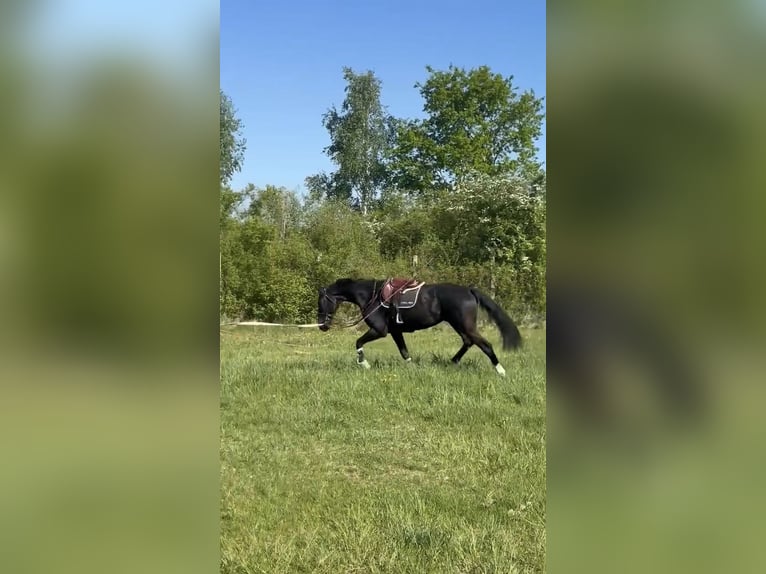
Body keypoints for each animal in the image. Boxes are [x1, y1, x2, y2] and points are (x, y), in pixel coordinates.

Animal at [317, 277, 522, 376]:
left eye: (321, 302)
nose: (321, 325)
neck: (371, 296)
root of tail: (469, 290)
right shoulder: (395, 331)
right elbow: (404, 352)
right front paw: (412, 368)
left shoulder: (379, 331)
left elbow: (358, 343)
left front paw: (364, 364)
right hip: (459, 325)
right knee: (468, 342)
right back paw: (453, 361)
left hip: (465, 325)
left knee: (484, 345)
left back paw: (500, 371)